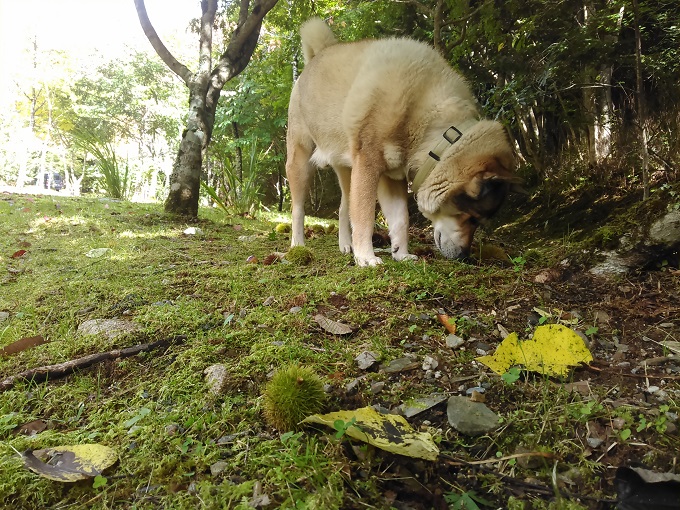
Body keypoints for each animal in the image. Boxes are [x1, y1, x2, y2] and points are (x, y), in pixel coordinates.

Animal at [286, 18, 516, 266]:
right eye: (473, 219)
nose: (465, 255)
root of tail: (319, 53)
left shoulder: (391, 177)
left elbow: (400, 219)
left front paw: (401, 253)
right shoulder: (368, 166)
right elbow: (365, 215)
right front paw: (366, 257)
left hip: (346, 168)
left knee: (344, 207)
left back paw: (345, 245)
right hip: (300, 161)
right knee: (298, 208)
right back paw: (298, 245)